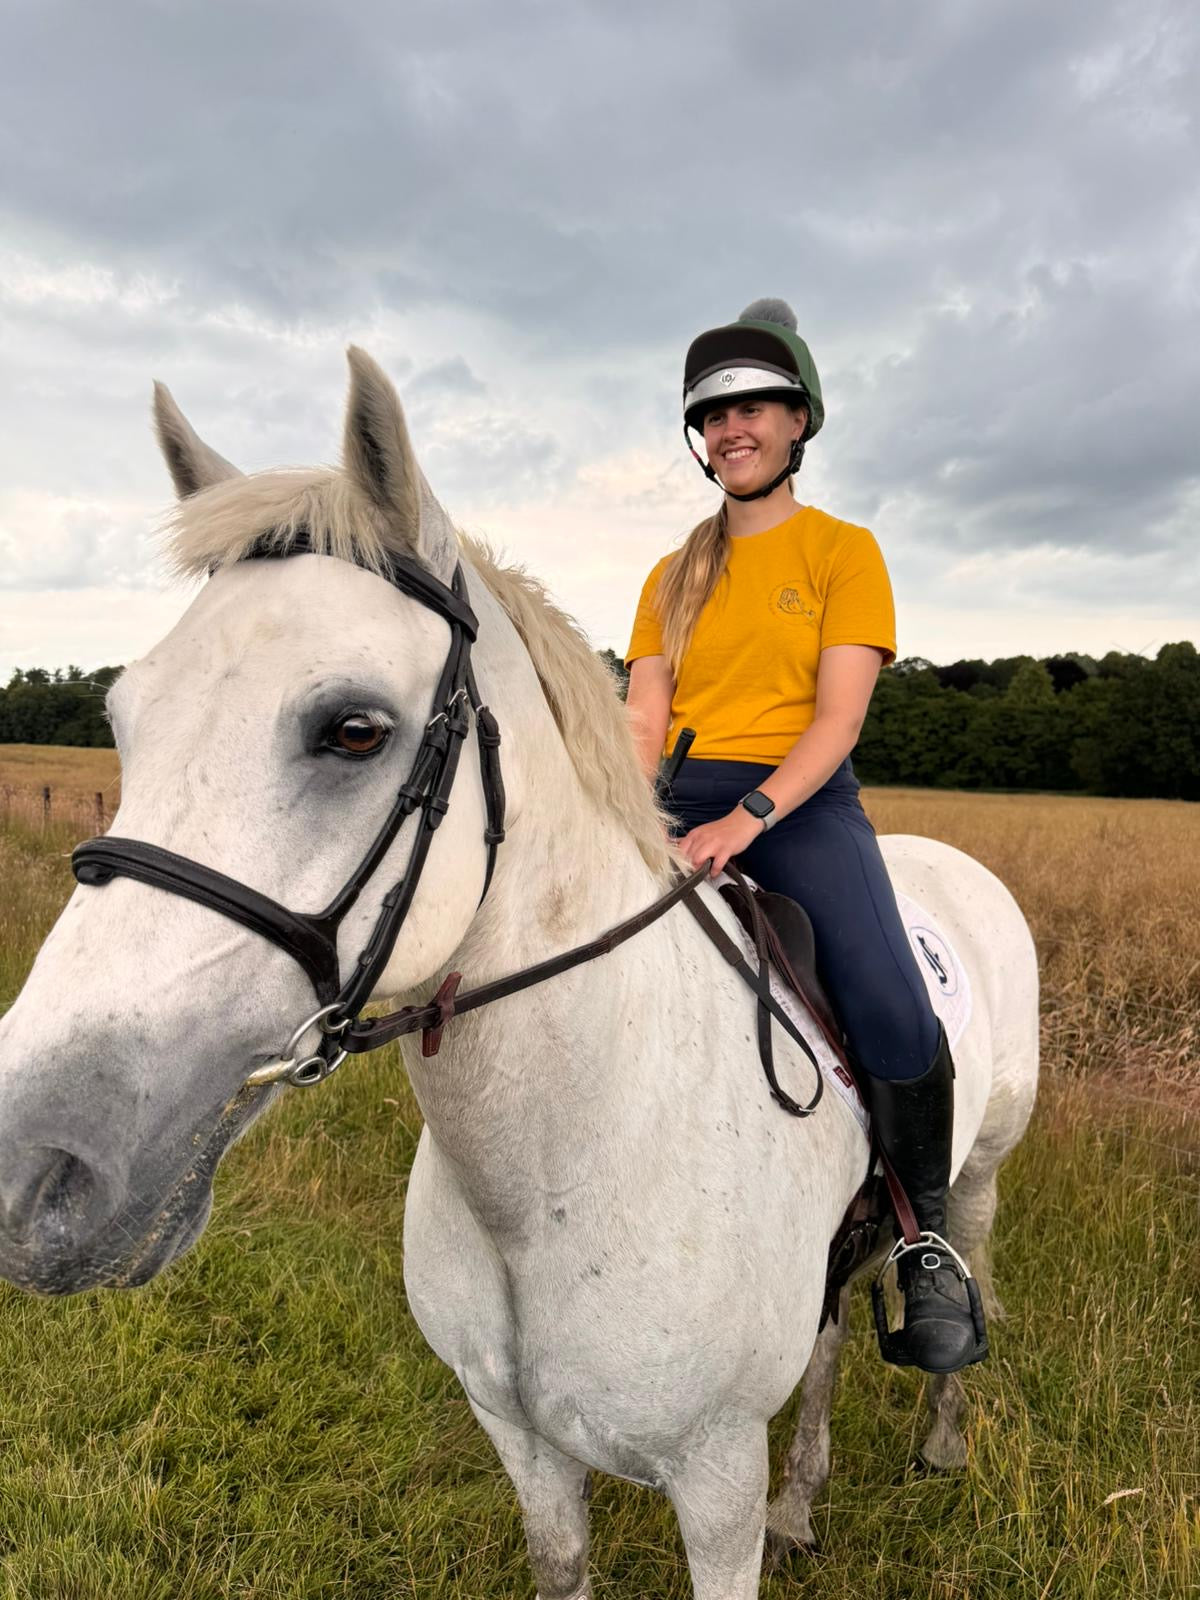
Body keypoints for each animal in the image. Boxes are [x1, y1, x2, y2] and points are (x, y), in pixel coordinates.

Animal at [0, 353, 1036, 1600]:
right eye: (123, 715)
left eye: (353, 729)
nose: (33, 1176)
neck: (563, 1165)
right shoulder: (525, 1443)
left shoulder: (714, 1478)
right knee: (830, 1339)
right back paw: (804, 1505)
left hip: (978, 1174)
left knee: (955, 1264)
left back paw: (943, 1439)